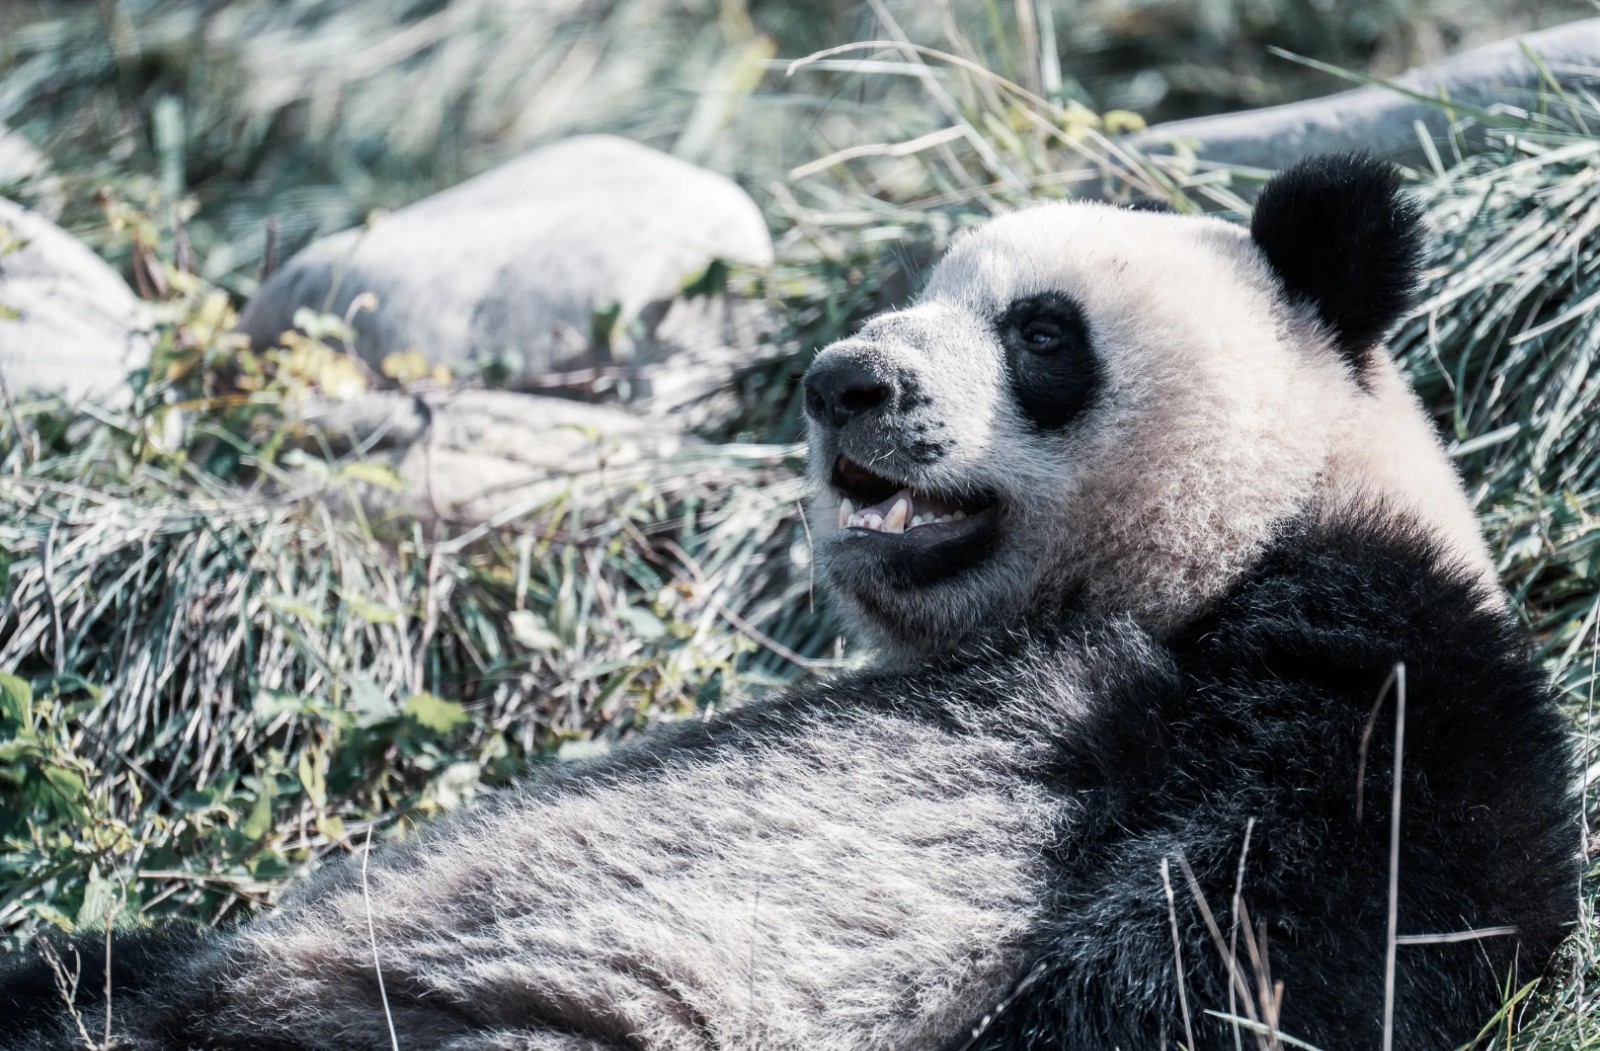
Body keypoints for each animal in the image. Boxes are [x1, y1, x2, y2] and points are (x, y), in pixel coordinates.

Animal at [0, 152, 1578, 1051]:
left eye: (1041, 329)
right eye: (913, 293)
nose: (845, 382)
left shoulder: (1382, 660)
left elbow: (1254, 942)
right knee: (91, 974)